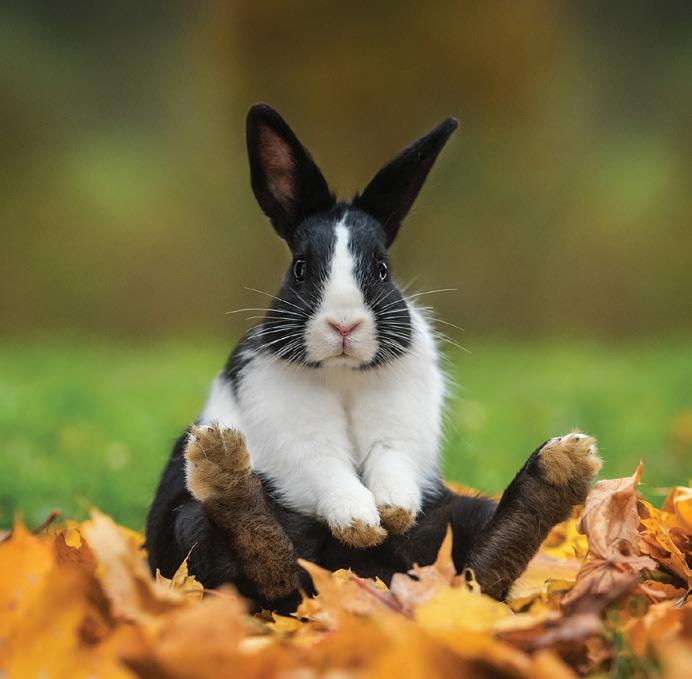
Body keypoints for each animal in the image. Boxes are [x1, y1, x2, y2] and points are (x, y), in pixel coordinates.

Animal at [146, 105, 602, 609]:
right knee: (269, 568)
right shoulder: (297, 436)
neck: (344, 375)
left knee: (480, 571)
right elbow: (327, 468)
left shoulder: (399, 431)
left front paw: (392, 512)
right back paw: (223, 466)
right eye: (300, 268)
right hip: (191, 525)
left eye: (382, 269)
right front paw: (361, 524)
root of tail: (372, 578)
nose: (344, 325)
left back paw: (559, 469)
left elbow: (391, 460)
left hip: (456, 515)